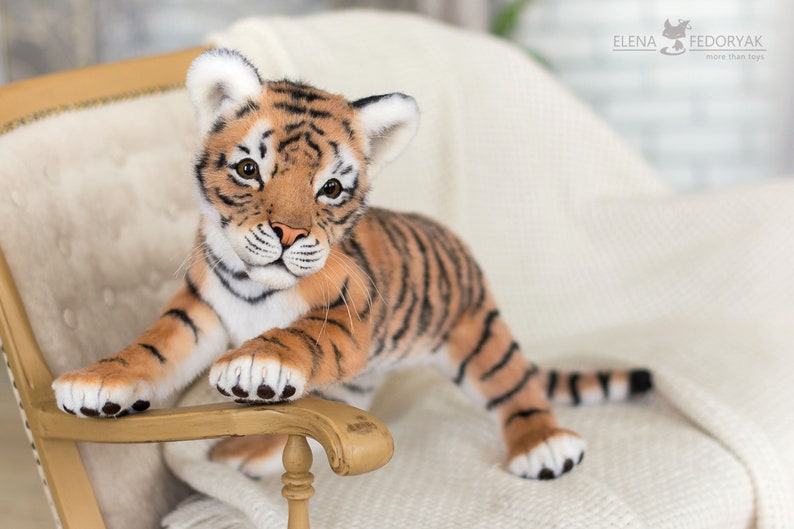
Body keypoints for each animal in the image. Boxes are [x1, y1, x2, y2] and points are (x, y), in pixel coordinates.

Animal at [52, 48, 651, 481]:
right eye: (249, 169)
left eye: (332, 189)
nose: (289, 234)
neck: (253, 285)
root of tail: (454, 240)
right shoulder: (199, 308)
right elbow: (150, 348)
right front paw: (94, 382)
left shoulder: (349, 312)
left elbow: (294, 337)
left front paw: (255, 364)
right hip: (359, 382)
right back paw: (257, 450)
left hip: (479, 334)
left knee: (517, 389)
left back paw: (544, 449)